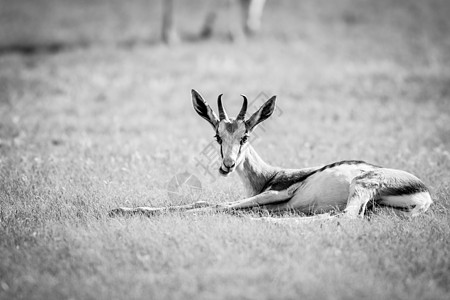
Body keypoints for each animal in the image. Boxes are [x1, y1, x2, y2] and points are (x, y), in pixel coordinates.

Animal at [110, 90, 432, 221]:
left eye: (245, 136)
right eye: (218, 136)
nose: (227, 165)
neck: (270, 176)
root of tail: (425, 193)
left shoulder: (276, 194)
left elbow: (216, 204)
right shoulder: (273, 201)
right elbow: (207, 201)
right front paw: (120, 209)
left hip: (360, 185)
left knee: (345, 217)